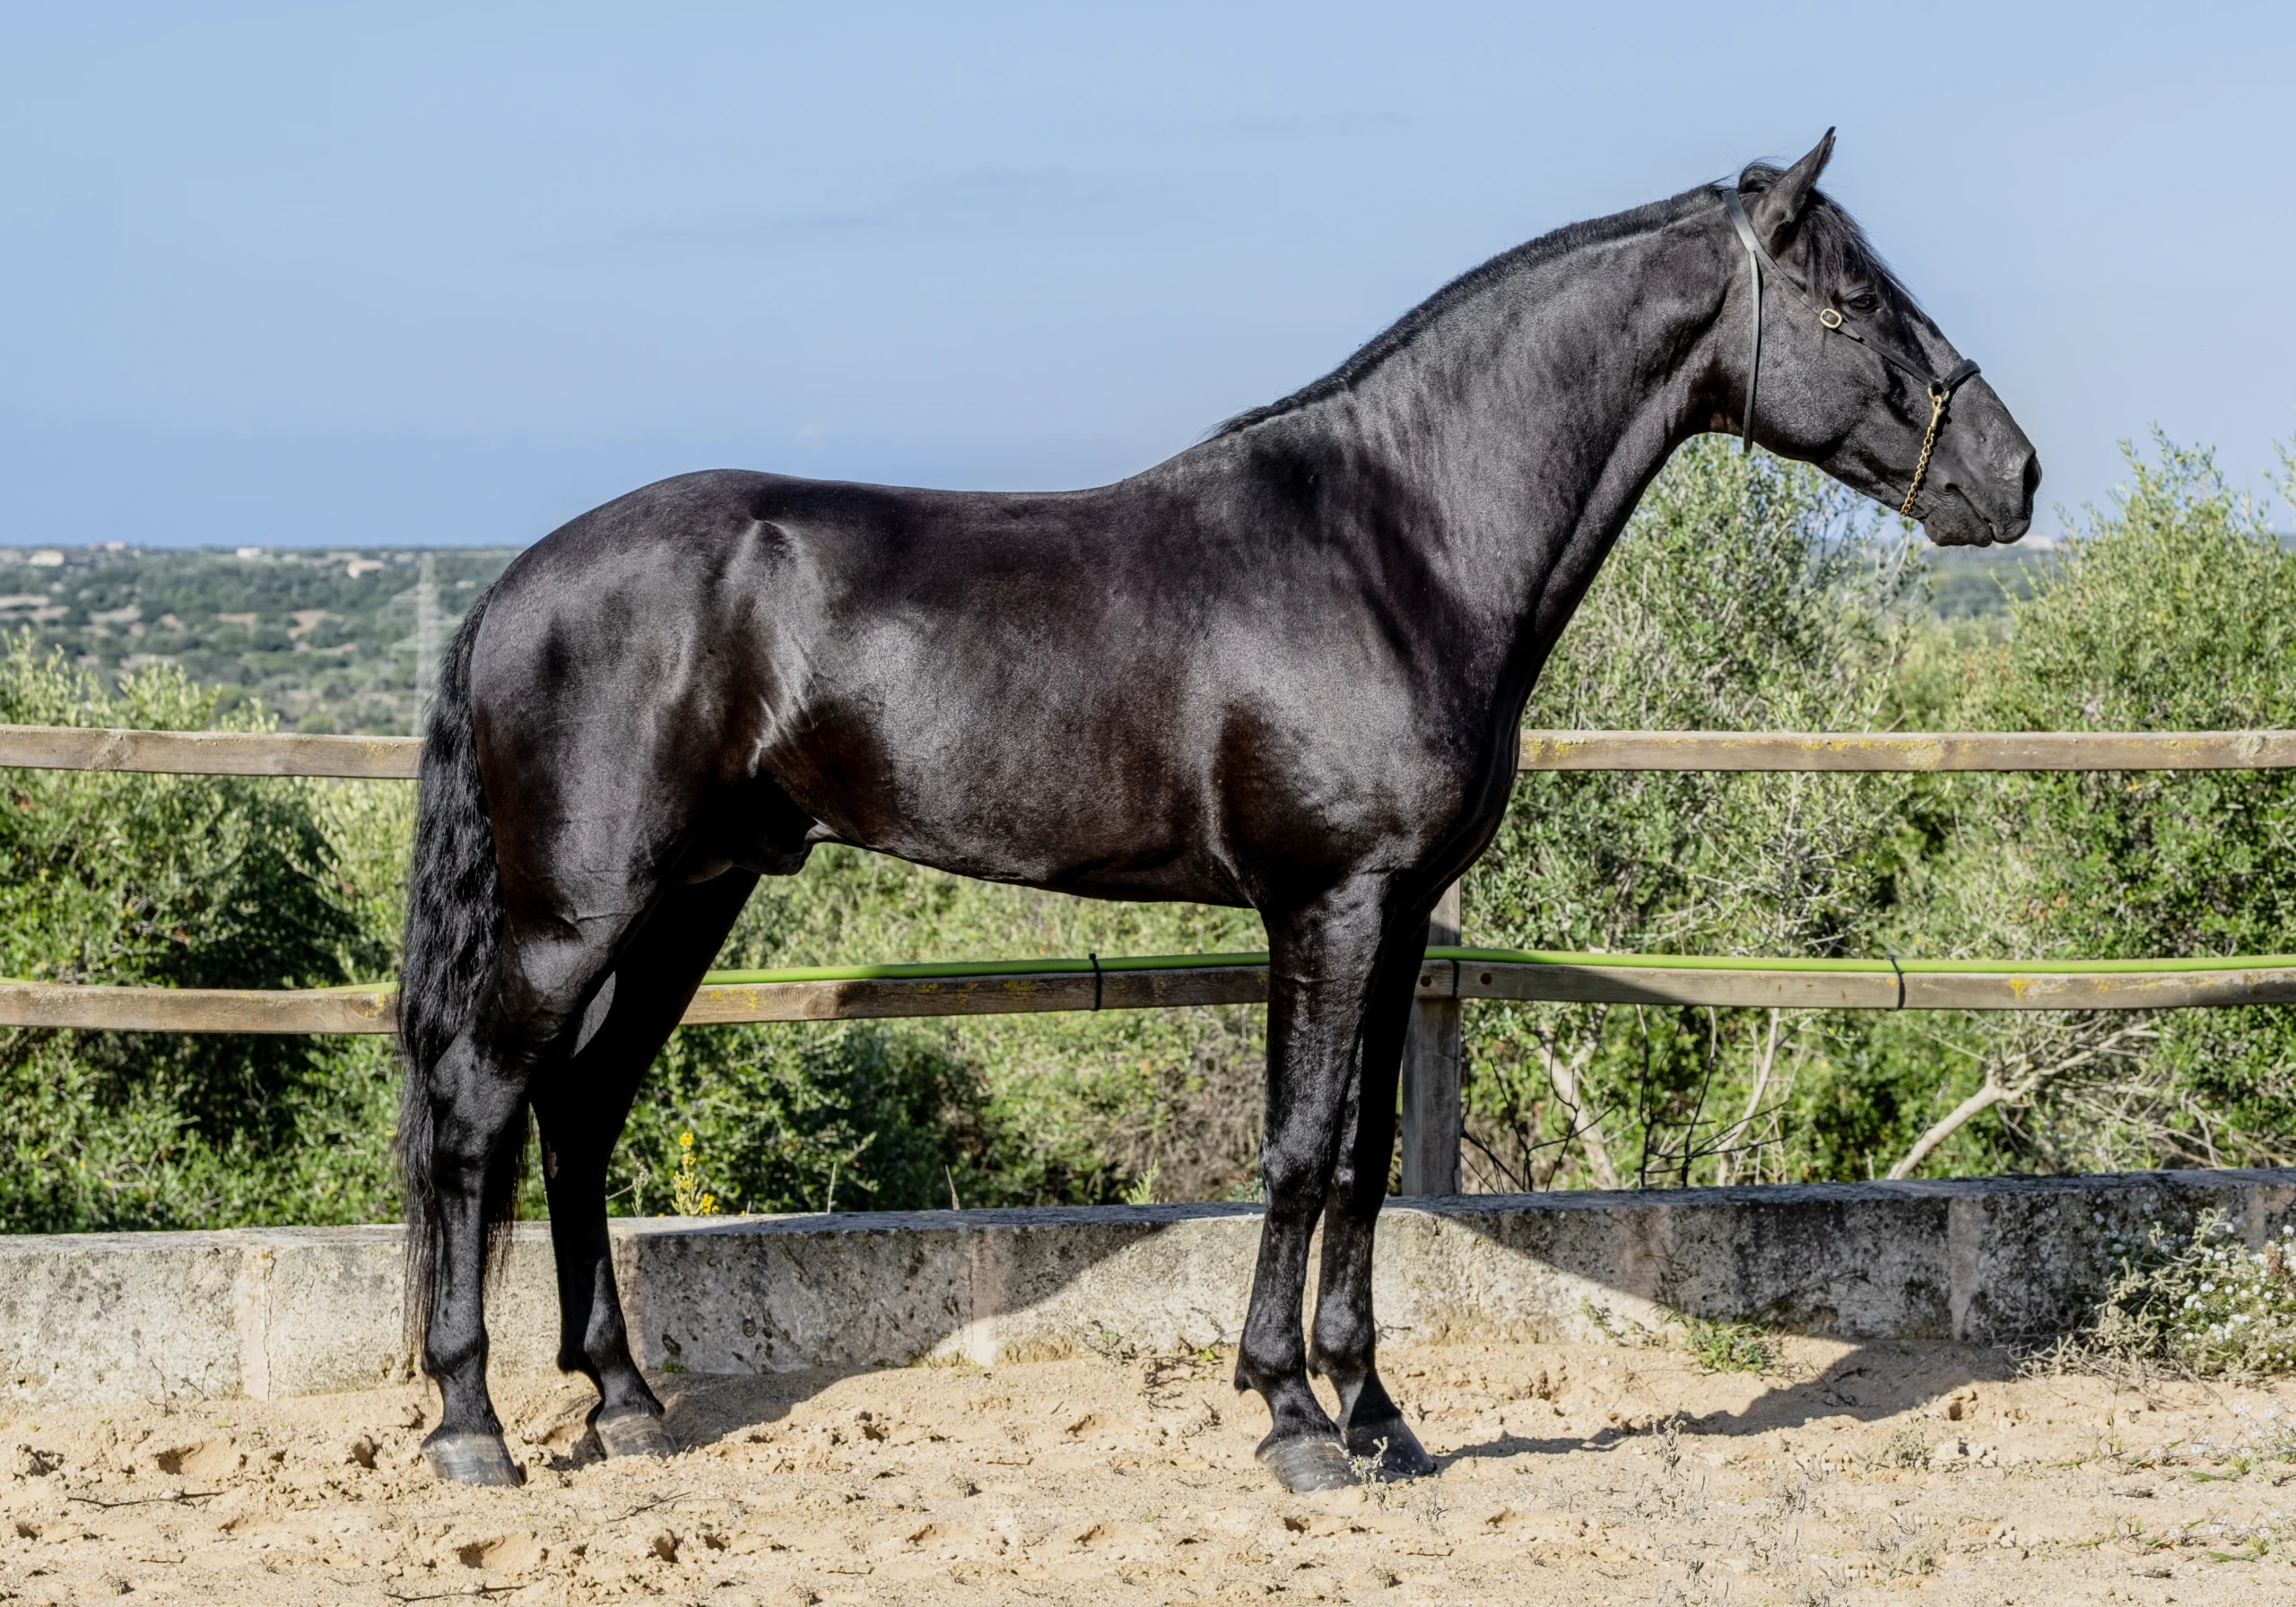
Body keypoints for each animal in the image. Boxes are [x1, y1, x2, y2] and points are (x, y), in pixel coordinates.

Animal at [396, 131, 2037, 1491]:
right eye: (1851, 303)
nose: (2014, 473)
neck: (1395, 544)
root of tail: (513, 584)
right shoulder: (1325, 902)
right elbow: (1300, 1150)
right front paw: (1292, 1417)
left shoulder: (1398, 917)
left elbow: (1367, 1162)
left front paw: (1380, 1413)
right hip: (580, 910)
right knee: (478, 1105)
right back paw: (473, 1426)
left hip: (692, 897)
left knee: (579, 1108)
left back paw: (624, 1403)